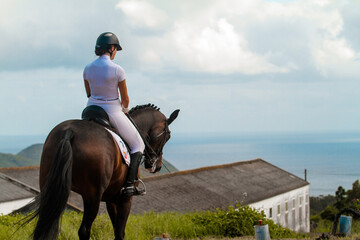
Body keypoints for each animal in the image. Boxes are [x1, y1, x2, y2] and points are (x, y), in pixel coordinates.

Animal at [24, 104, 179, 240]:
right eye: (168, 136)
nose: (156, 166)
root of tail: (70, 132)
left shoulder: (111, 199)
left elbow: (116, 229)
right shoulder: (125, 199)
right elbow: (120, 232)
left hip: (50, 188)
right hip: (93, 196)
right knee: (84, 230)